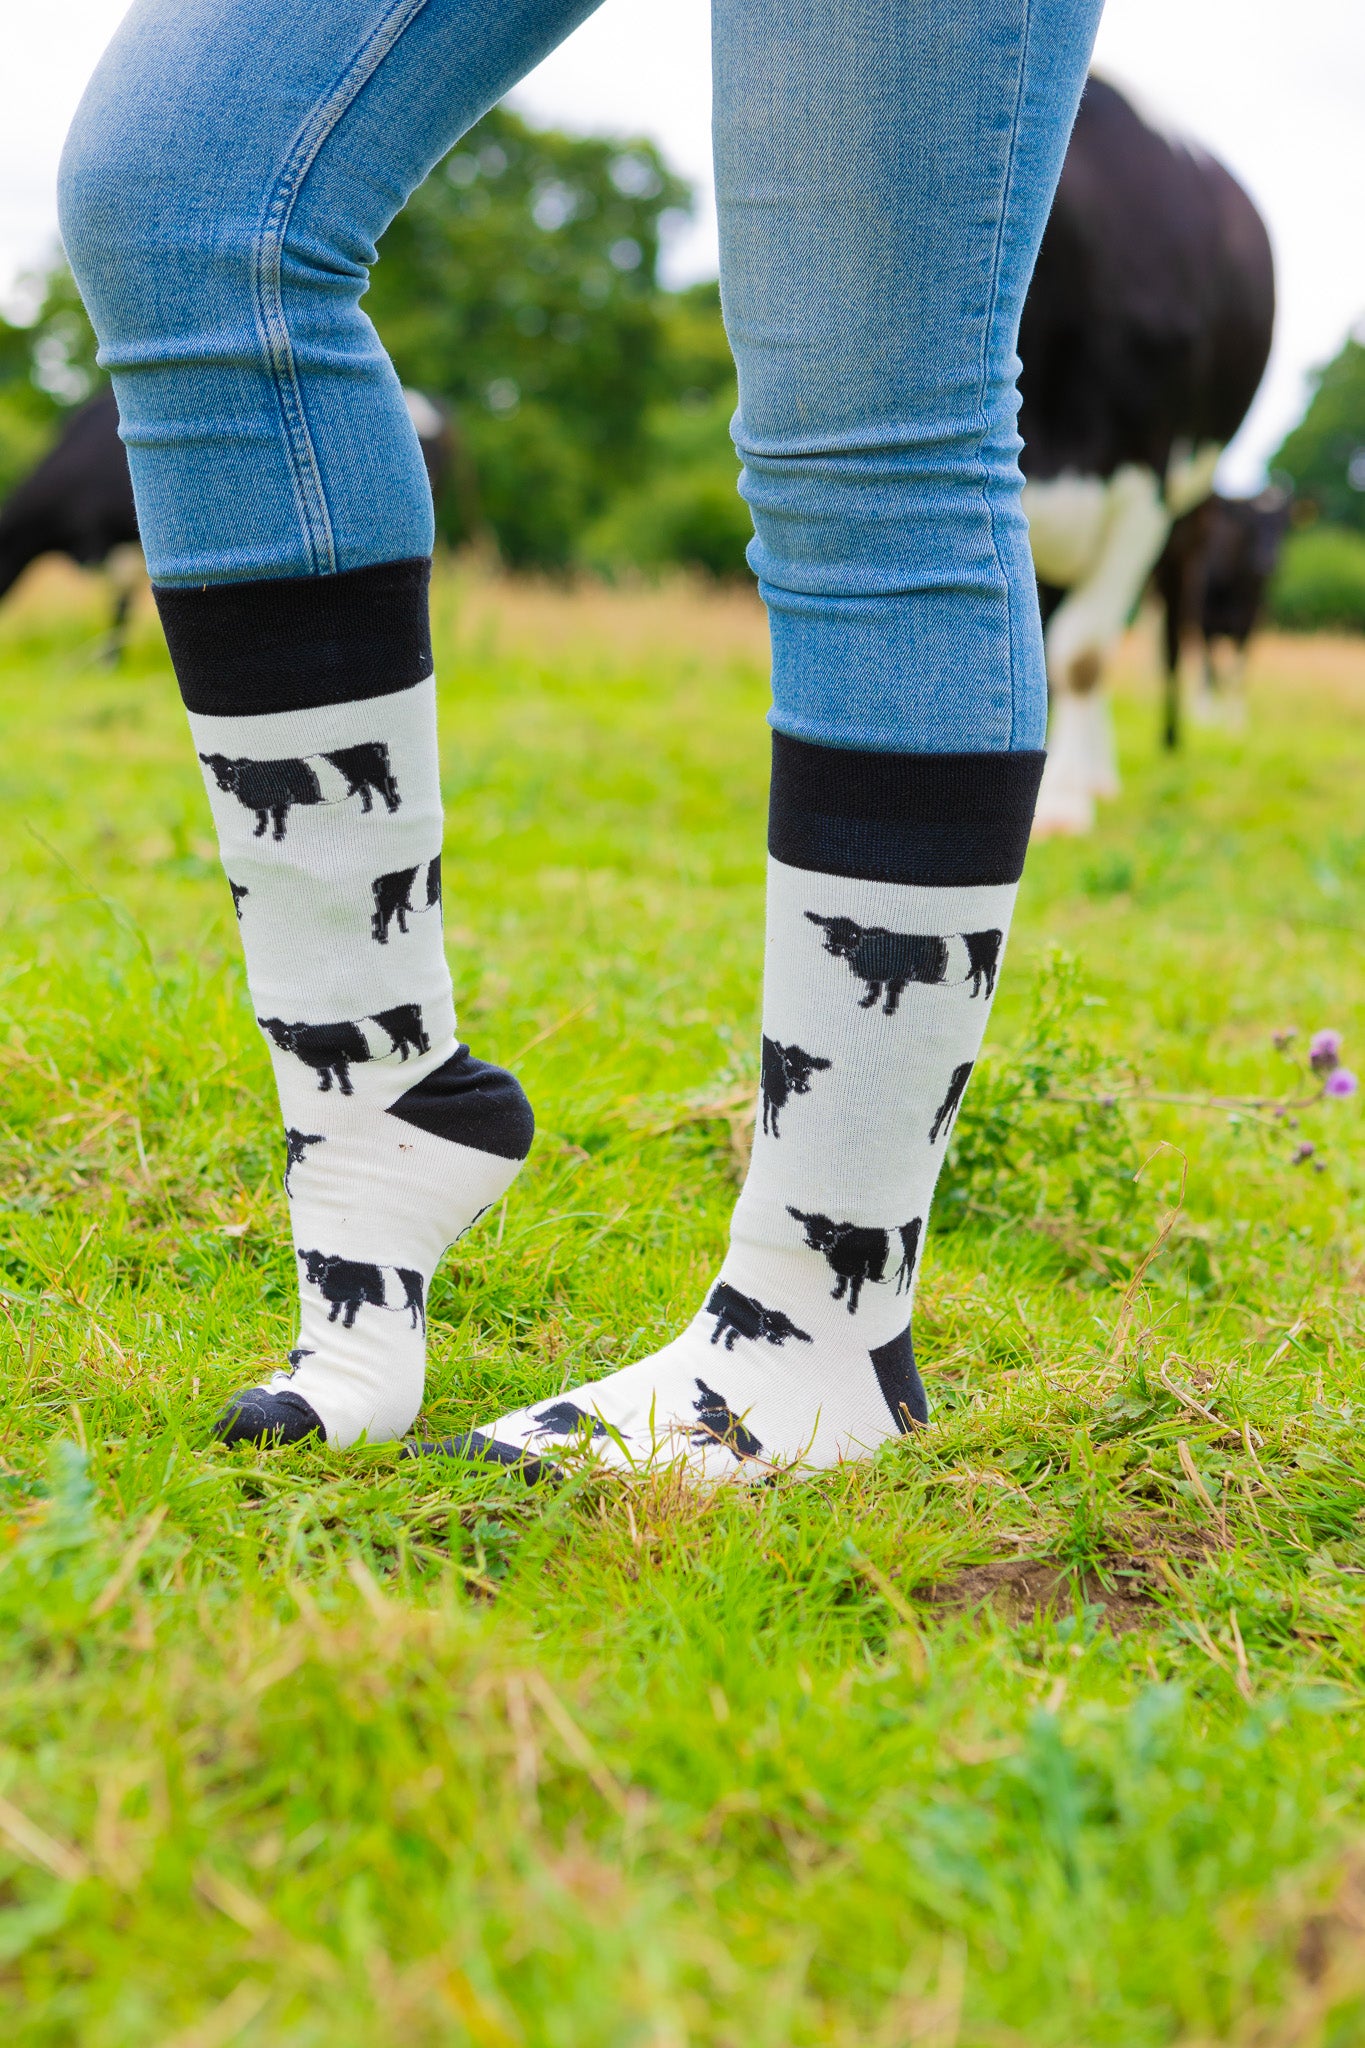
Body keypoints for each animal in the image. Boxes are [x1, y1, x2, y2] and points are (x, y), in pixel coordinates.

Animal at [199, 741, 400, 840]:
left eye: (230, 768)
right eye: (213, 768)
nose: (222, 784)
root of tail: (376, 744)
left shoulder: (280, 801)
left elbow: (277, 819)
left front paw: (278, 836)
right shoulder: (261, 804)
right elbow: (262, 818)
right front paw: (258, 833)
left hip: (378, 776)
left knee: (387, 788)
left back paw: (393, 808)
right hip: (362, 780)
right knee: (365, 791)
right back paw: (366, 810)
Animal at [805, 914, 1002, 1015]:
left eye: (852, 935)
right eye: (829, 931)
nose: (831, 947)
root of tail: (993, 933)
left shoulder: (897, 977)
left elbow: (890, 993)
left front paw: (888, 1009)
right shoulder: (877, 976)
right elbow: (874, 990)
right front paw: (866, 1003)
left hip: (989, 965)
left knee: (989, 978)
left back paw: (985, 995)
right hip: (978, 965)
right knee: (977, 976)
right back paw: (974, 995)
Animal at [1152, 488, 1291, 746]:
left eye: (1284, 524)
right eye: (1251, 525)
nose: (1267, 562)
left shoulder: (1248, 627)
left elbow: (1237, 672)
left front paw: (1236, 726)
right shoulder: (1205, 623)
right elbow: (1214, 670)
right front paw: (1211, 720)